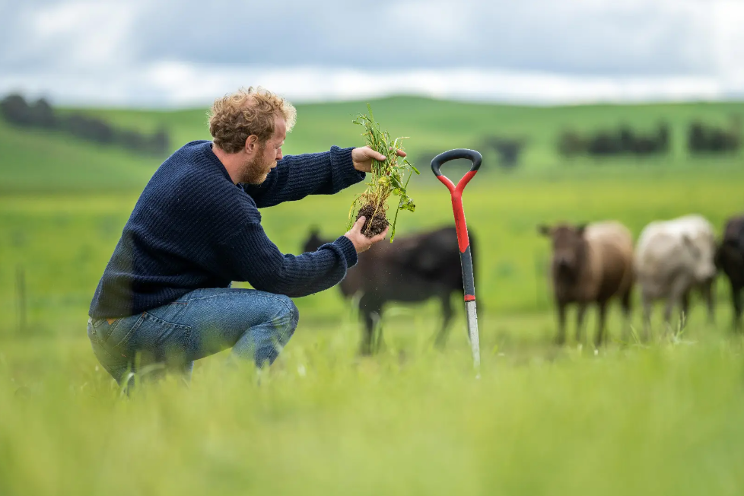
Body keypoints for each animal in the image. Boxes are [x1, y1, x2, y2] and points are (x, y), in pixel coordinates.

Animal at [302, 225, 476, 352]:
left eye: (309, 247)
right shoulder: (376, 303)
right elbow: (375, 323)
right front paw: (373, 348)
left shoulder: (367, 302)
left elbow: (370, 324)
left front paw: (366, 349)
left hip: (444, 290)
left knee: (449, 313)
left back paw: (435, 343)